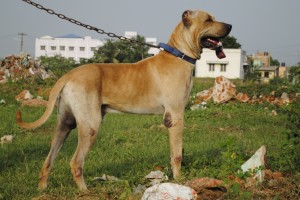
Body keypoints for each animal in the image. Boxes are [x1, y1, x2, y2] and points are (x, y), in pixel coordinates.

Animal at [16, 9, 232, 191]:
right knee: (76, 162)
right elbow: (177, 154)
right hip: (90, 125)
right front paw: (179, 180)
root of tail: (69, 75)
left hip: (65, 124)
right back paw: (85, 191)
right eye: (208, 20)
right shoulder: (176, 116)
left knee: (48, 160)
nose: (230, 26)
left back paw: (42, 189)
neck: (180, 54)